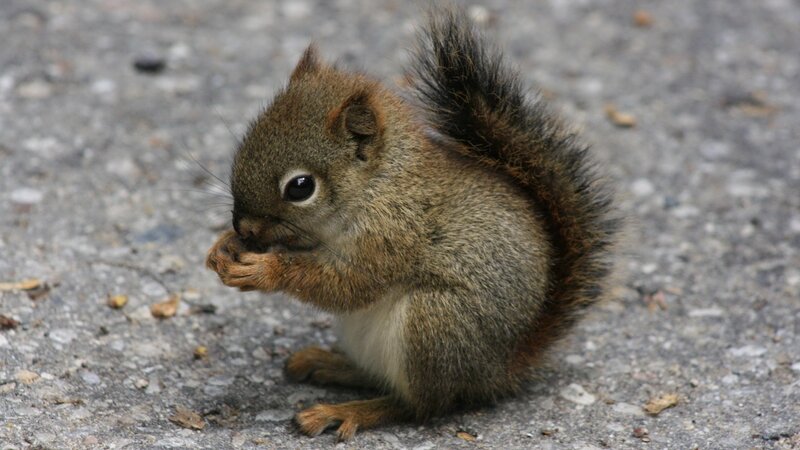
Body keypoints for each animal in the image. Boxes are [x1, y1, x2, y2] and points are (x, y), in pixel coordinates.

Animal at [205, 9, 619, 441]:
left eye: (300, 187)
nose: (245, 228)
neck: (379, 185)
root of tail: (499, 370)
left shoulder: (393, 235)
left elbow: (349, 284)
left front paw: (264, 270)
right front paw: (223, 247)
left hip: (435, 324)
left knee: (419, 405)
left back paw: (348, 410)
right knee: (380, 378)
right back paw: (330, 364)